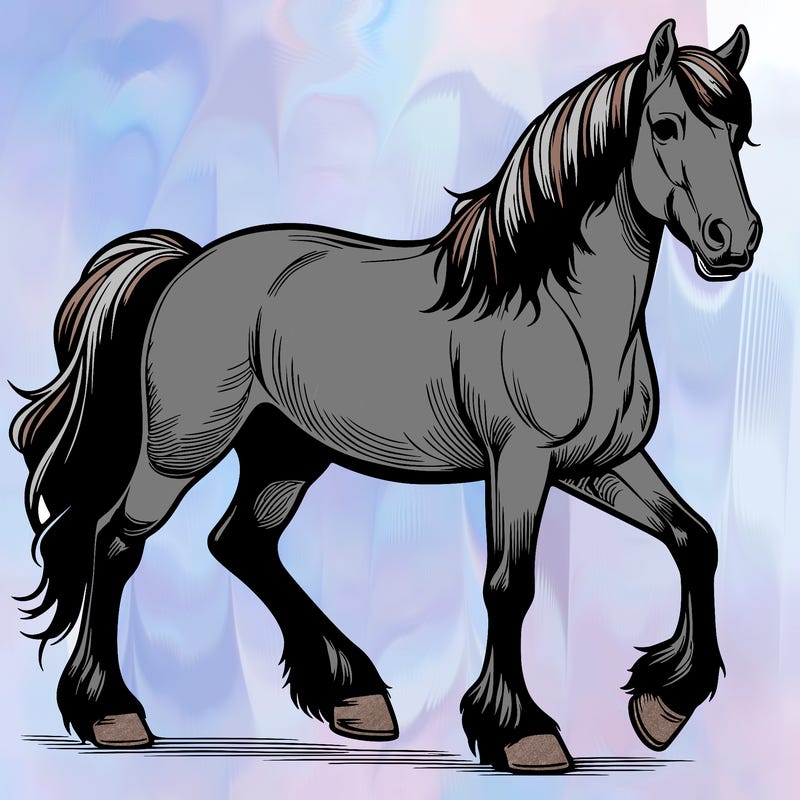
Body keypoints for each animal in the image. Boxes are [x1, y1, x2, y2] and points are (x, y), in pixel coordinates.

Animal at [10, 19, 760, 773]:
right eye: (665, 125)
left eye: (739, 132)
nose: (735, 240)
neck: (558, 307)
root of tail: (186, 264)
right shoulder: (520, 463)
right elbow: (509, 586)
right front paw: (522, 733)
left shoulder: (599, 464)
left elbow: (696, 539)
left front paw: (663, 706)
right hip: (181, 449)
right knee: (115, 542)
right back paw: (112, 714)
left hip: (286, 452)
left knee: (241, 543)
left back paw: (354, 695)